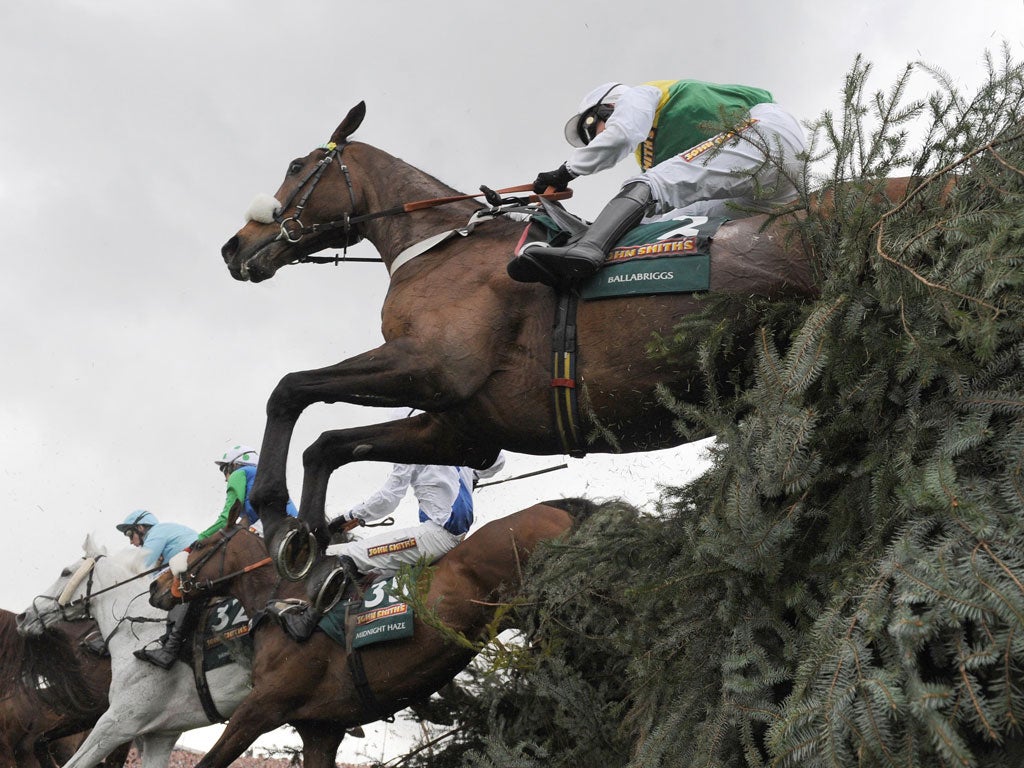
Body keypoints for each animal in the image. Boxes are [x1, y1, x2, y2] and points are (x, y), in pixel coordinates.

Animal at [147, 501, 593, 765]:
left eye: (198, 545)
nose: (155, 587)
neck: (284, 600)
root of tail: (552, 507)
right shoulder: (320, 730)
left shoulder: (262, 707)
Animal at [222, 100, 823, 561]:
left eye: (297, 165)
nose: (233, 247)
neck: (439, 245)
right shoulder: (461, 428)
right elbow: (326, 446)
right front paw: (310, 551)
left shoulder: (434, 367)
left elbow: (290, 390)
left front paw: (274, 516)